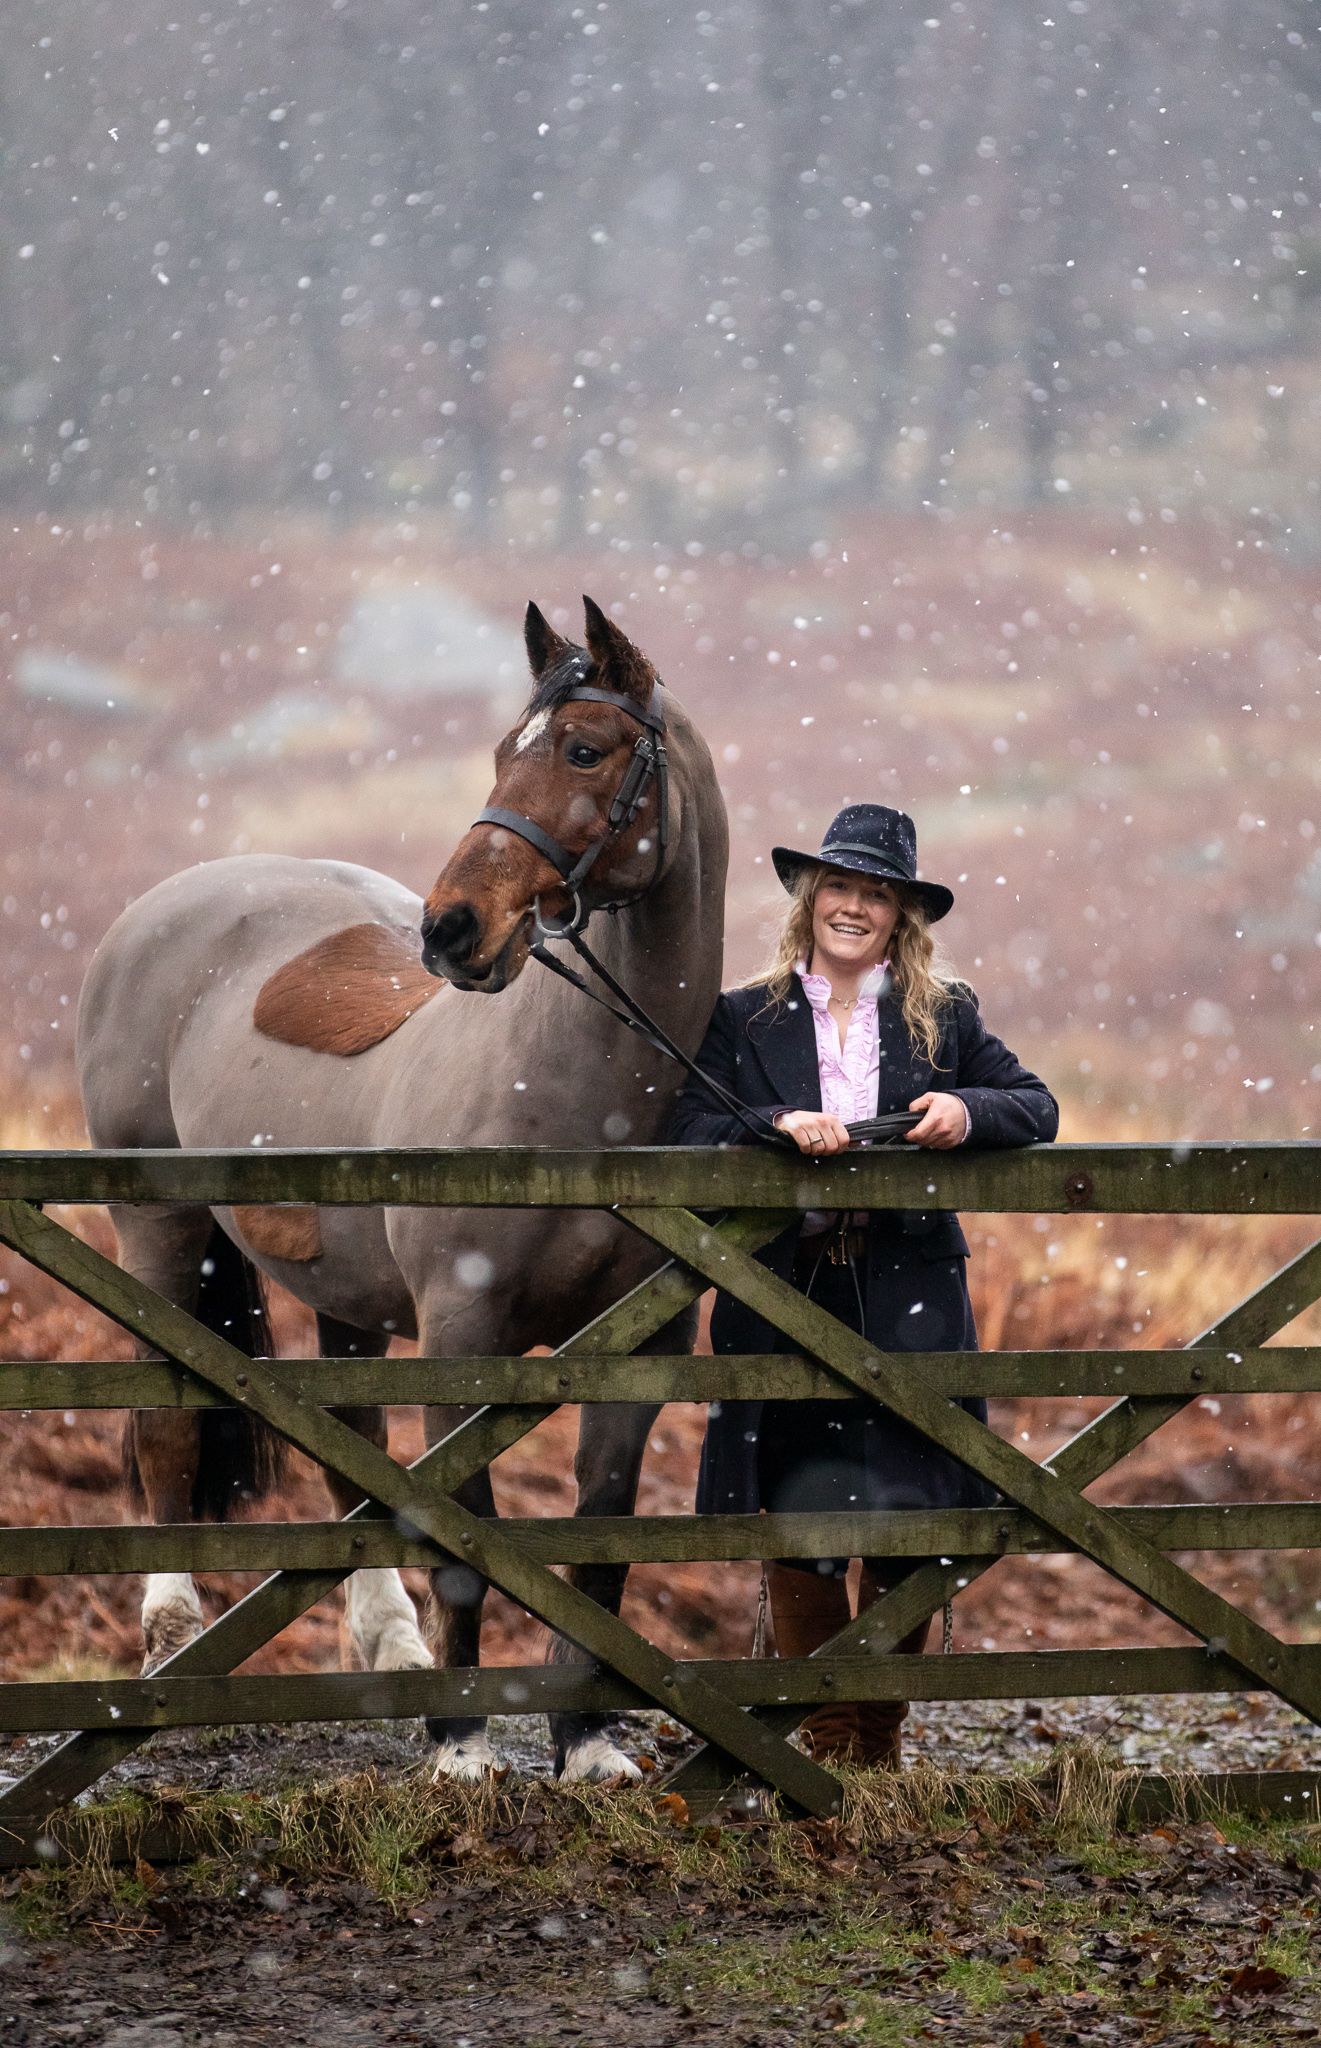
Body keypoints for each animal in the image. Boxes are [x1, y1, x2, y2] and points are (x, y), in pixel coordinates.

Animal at [75, 596, 728, 1782]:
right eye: (504, 749)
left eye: (584, 748)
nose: (452, 930)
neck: (577, 1095)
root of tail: (169, 902)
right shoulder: (462, 1330)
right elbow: (464, 1535)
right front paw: (461, 1747)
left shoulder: (643, 1344)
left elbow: (602, 1530)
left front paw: (588, 1741)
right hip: (158, 1229)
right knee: (164, 1432)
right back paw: (172, 1644)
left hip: (346, 1293)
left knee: (354, 1451)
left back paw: (389, 1643)